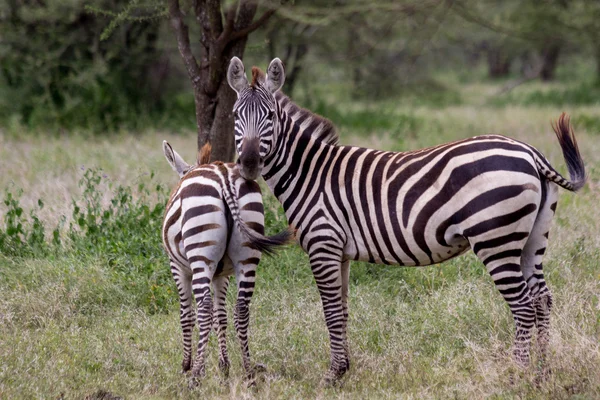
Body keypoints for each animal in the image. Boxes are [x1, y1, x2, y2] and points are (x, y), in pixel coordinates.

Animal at [161, 141, 290, 382]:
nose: (189, 368)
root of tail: (224, 177)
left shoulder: (178, 267)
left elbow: (186, 314)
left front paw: (186, 365)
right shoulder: (222, 275)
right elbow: (221, 316)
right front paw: (224, 365)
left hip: (201, 256)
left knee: (204, 309)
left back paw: (196, 375)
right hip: (247, 257)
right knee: (241, 309)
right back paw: (248, 370)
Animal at [226, 57, 584, 384]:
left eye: (270, 116)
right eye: (235, 116)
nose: (248, 163)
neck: (309, 172)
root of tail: (531, 153)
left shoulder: (322, 243)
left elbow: (330, 311)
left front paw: (331, 376)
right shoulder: (340, 252)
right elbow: (342, 309)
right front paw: (344, 369)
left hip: (495, 239)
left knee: (522, 305)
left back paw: (517, 375)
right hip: (531, 240)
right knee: (542, 299)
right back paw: (542, 373)